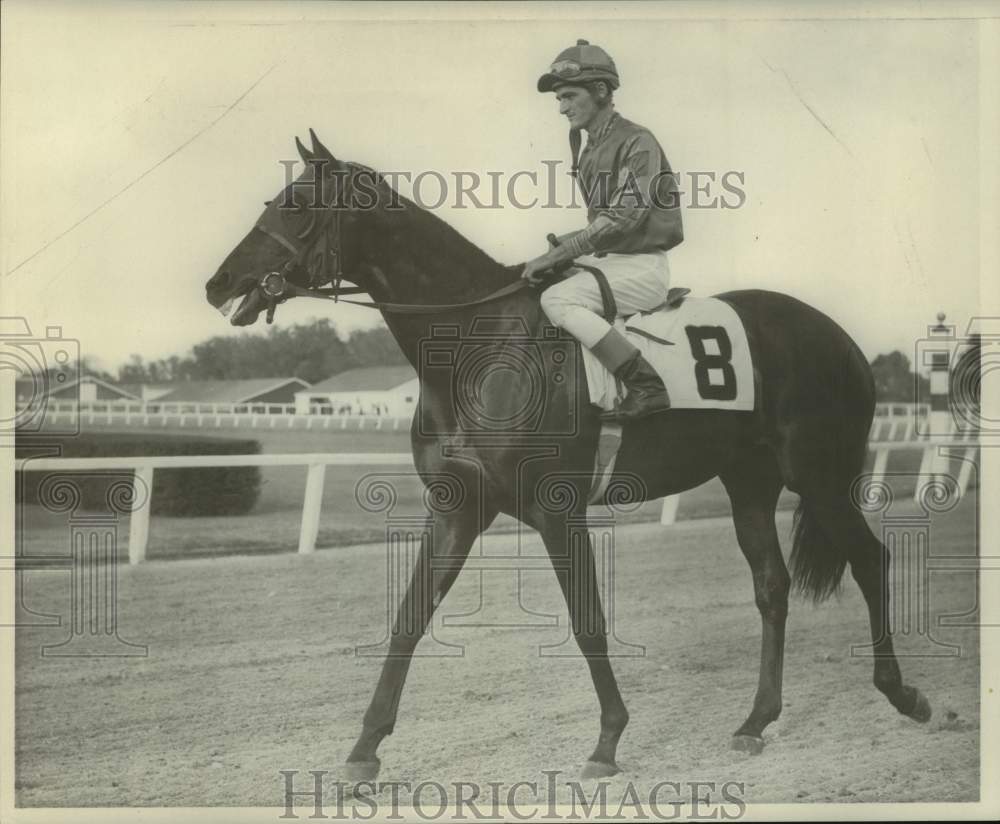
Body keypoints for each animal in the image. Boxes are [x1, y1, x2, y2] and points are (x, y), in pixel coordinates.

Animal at [207, 132, 932, 784]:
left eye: (297, 205)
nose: (219, 283)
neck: (478, 346)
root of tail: (837, 336)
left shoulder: (559, 511)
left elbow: (588, 623)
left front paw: (607, 743)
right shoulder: (457, 507)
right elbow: (409, 619)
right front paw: (363, 750)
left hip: (820, 475)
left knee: (870, 559)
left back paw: (904, 695)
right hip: (749, 482)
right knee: (772, 587)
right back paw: (757, 721)